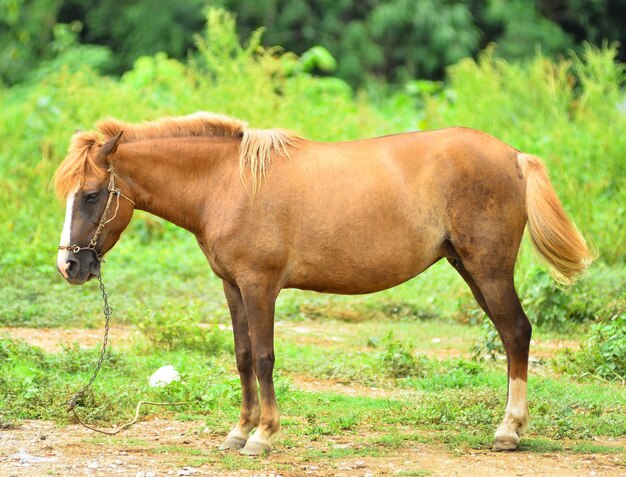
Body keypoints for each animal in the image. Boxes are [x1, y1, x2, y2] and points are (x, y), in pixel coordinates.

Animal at [53, 111, 588, 454]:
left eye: (93, 194)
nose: (69, 267)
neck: (226, 183)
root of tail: (515, 157)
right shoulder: (233, 288)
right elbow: (243, 357)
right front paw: (239, 431)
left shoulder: (260, 286)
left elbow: (264, 358)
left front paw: (263, 436)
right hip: (470, 268)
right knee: (511, 334)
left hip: (488, 269)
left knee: (516, 333)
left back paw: (508, 431)